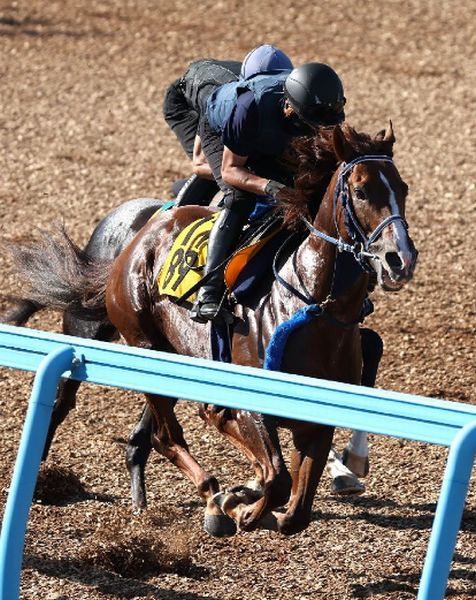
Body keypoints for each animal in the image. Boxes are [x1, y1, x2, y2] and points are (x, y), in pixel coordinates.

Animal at [4, 124, 416, 536]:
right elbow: (276, 478)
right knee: (151, 430)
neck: (312, 303)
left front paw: (255, 496)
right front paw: (239, 503)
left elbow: (294, 512)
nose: (400, 259)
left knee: (158, 435)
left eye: (403, 188)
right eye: (361, 191)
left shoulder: (317, 419)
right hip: (125, 337)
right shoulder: (247, 403)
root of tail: (137, 240)